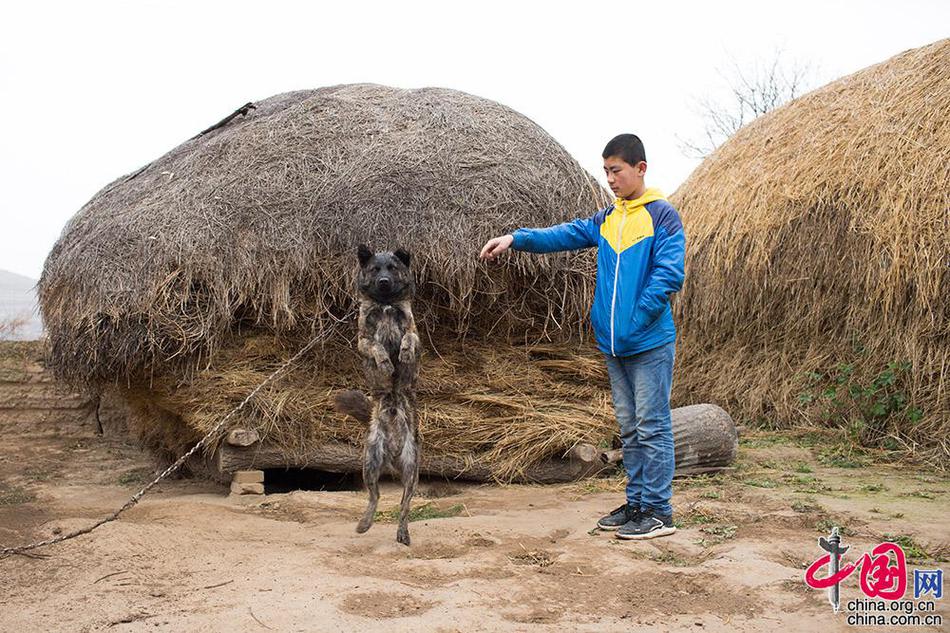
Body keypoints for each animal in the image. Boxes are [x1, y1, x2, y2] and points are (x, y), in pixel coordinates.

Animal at [336, 242, 422, 544]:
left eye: (392, 268)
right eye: (375, 269)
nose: (384, 282)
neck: (386, 305)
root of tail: (393, 453)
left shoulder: (415, 331)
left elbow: (407, 338)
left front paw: (404, 354)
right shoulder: (362, 339)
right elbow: (376, 346)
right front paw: (385, 362)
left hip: (411, 471)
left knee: (404, 505)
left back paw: (403, 532)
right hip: (369, 464)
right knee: (375, 497)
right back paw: (364, 523)